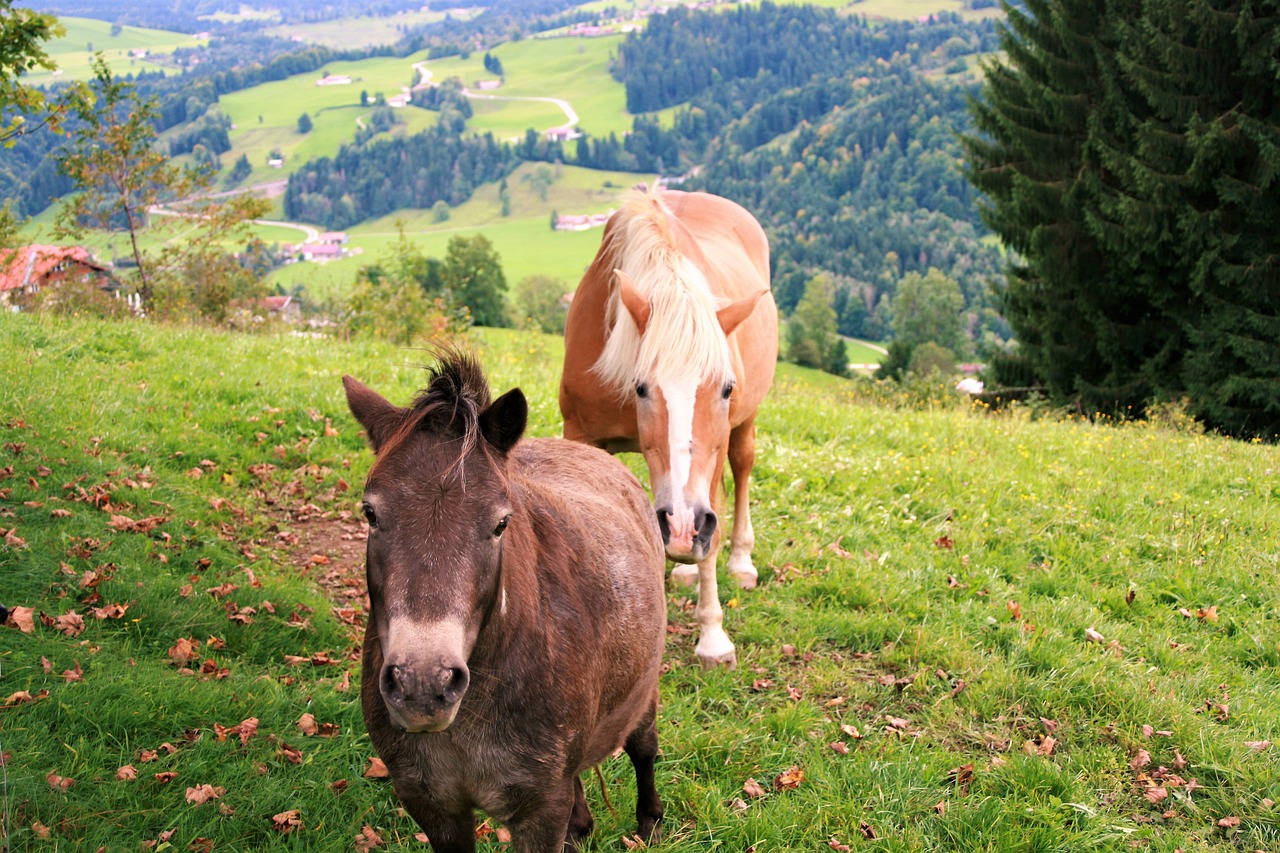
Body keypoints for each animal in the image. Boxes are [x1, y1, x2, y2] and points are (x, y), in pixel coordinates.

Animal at [345, 348, 670, 845]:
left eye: (501, 522)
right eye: (371, 513)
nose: (423, 684)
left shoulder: (539, 812)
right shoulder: (435, 808)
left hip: (643, 694)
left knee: (643, 748)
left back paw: (649, 822)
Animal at [563, 183, 778, 666]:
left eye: (726, 388)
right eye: (641, 387)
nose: (682, 524)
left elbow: (711, 539)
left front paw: (713, 638)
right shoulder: (579, 436)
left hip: (743, 430)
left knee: (742, 470)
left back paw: (739, 562)